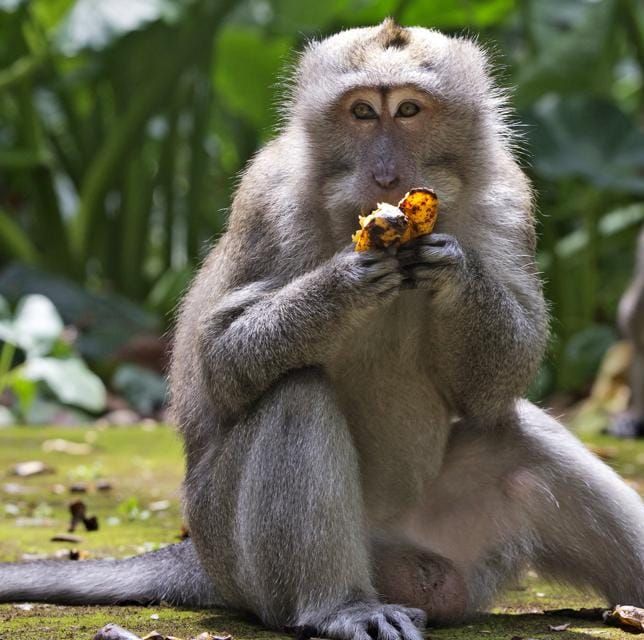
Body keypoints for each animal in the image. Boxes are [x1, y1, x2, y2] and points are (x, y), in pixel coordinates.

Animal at [2, 20, 644, 640]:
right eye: (361, 112)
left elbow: (494, 387)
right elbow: (221, 361)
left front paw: (455, 269)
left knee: (522, 440)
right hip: (240, 558)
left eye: (407, 110)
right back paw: (341, 606)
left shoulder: (510, 199)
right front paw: (342, 282)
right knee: (296, 393)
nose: (385, 173)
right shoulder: (268, 198)